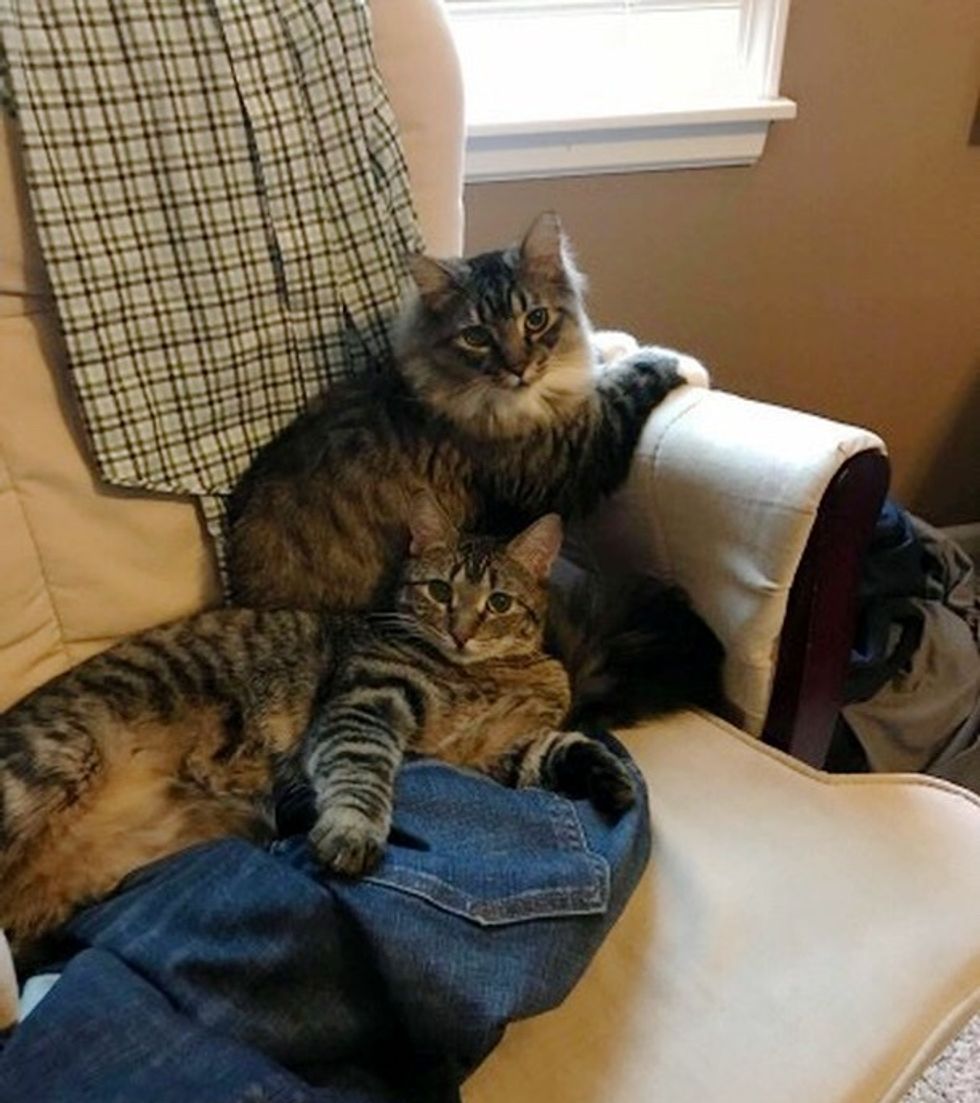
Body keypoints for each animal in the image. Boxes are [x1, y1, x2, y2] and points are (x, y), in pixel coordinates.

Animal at [0, 495, 635, 958]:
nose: (461, 631)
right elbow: (361, 773)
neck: (481, 674)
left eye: (499, 602)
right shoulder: (365, 703)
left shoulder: (493, 753)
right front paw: (353, 832)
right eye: (439, 590)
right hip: (51, 764)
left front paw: (609, 776)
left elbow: (554, 746)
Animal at [226, 211, 708, 615]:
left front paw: (612, 344)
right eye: (476, 336)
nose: (518, 368)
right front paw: (687, 366)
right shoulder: (571, 452)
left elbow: (602, 359)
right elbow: (631, 379)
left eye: (535, 319)